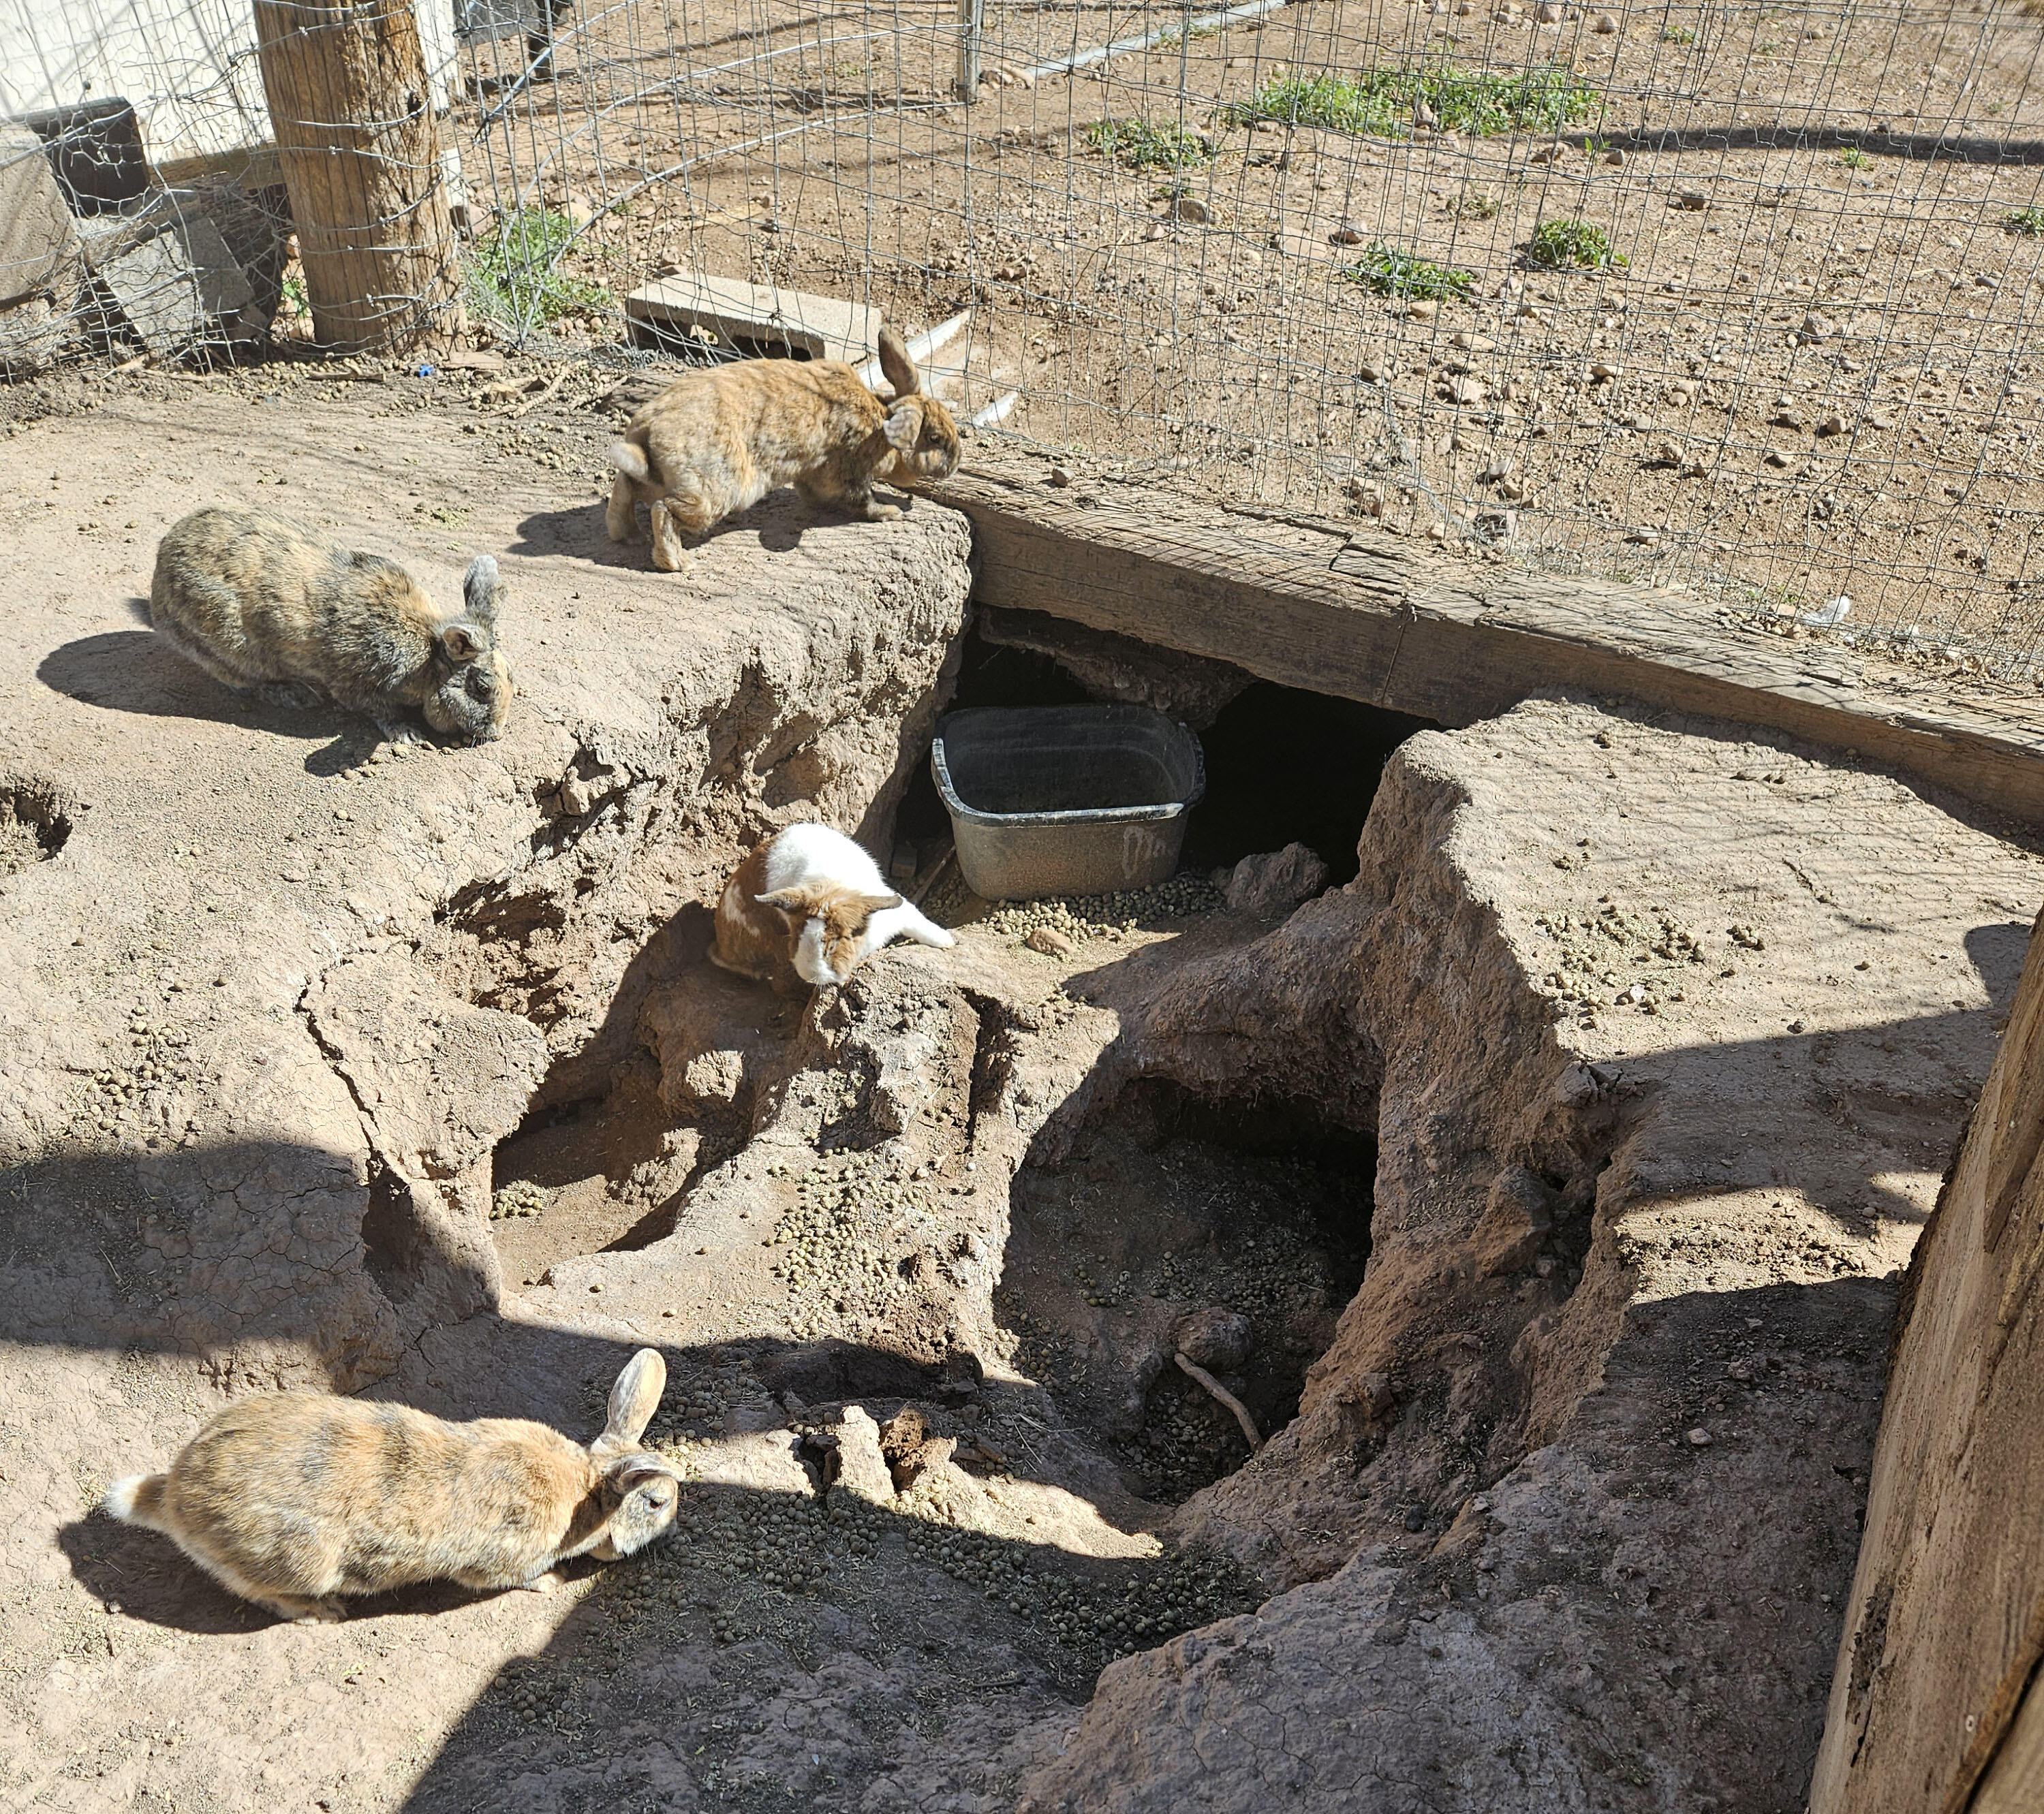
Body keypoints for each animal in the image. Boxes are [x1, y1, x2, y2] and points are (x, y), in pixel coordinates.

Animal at [100, 1348, 679, 1622]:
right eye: (655, 1501)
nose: (675, 1522)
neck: (586, 1493)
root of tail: (175, 1497)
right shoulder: (501, 1560)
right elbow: (509, 1577)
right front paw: (553, 1582)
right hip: (298, 1561)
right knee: (259, 1589)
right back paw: (322, 1612)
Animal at [146, 506, 514, 745]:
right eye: (482, 688)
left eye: (511, 676)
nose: (496, 734)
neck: (428, 654)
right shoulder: (357, 684)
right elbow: (379, 710)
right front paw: (408, 734)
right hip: (225, 645)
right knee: (243, 681)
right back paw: (294, 695)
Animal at [605, 324, 962, 574]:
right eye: (934, 438)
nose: (957, 463)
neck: (880, 420)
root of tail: (647, 437)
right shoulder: (852, 471)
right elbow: (861, 501)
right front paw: (890, 513)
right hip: (713, 494)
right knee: (663, 510)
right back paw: (678, 563)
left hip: (656, 481)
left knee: (625, 489)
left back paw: (627, 535)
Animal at [710, 822, 956, 992]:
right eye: (795, 936)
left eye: (832, 945)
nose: (809, 976)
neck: (829, 893)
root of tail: (721, 949)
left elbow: (919, 923)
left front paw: (947, 942)